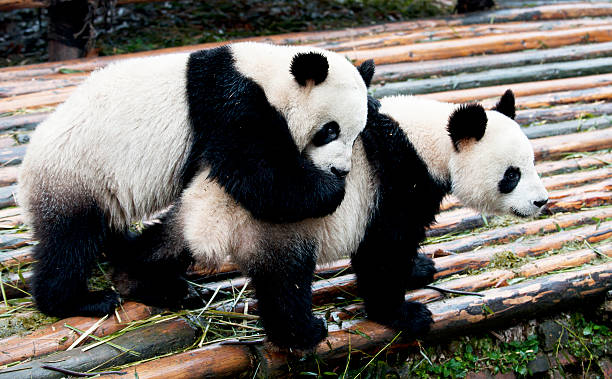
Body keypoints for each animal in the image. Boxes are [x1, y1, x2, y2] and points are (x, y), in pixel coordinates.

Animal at [17, 42, 372, 318]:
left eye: (356, 135)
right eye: (329, 130)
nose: (340, 170)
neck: (268, 75)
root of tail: (26, 168)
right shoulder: (231, 103)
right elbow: (261, 176)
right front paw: (327, 190)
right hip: (76, 173)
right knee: (70, 241)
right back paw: (77, 301)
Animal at [116, 89, 548, 350]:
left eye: (532, 163)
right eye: (512, 175)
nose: (541, 201)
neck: (429, 139)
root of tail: (211, 216)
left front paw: (419, 268)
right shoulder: (397, 179)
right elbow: (385, 248)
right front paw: (405, 314)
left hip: (194, 204)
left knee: (164, 242)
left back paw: (145, 282)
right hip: (278, 225)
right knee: (285, 283)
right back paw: (304, 332)